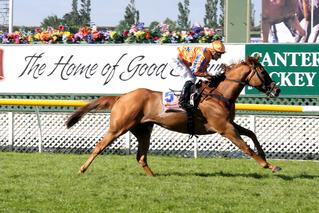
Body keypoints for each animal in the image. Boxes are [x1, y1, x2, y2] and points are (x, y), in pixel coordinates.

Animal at [66, 55, 282, 176]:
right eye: (263, 72)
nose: (276, 89)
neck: (218, 94)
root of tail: (122, 97)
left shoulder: (229, 123)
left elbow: (252, 134)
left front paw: (265, 156)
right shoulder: (224, 128)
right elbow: (246, 147)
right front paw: (269, 166)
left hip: (143, 130)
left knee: (141, 157)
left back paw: (153, 177)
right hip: (118, 127)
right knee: (99, 146)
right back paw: (82, 169)